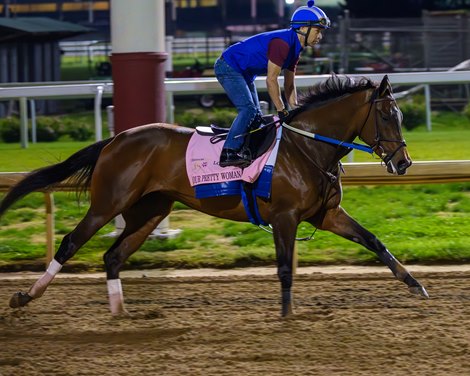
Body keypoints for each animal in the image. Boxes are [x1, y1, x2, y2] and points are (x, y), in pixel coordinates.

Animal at [0, 74, 428, 318]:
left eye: (400, 115)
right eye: (387, 115)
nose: (404, 162)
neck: (307, 147)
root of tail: (114, 139)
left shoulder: (326, 215)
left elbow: (375, 241)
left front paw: (416, 285)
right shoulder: (284, 217)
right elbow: (285, 268)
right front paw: (287, 316)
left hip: (149, 212)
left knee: (113, 256)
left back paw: (121, 313)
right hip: (109, 202)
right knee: (71, 243)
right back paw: (25, 297)